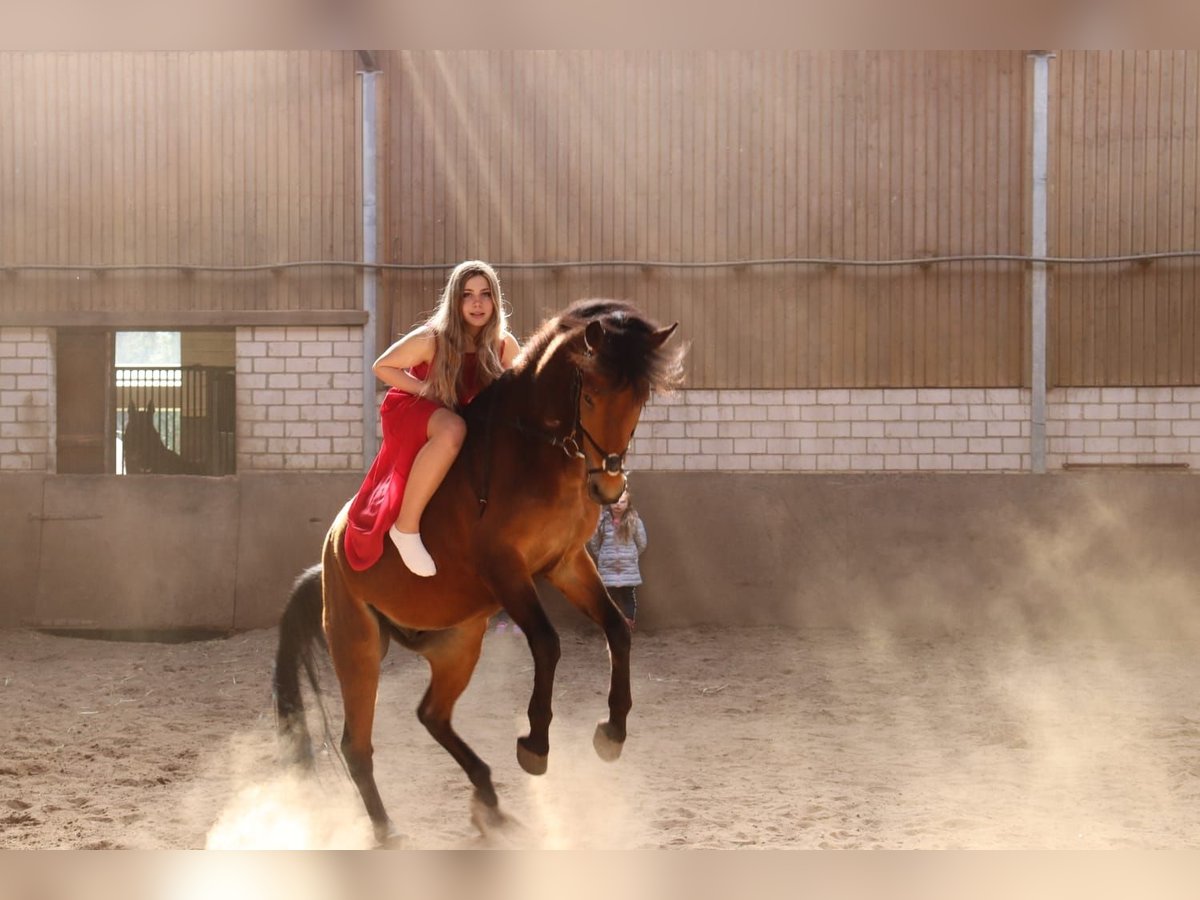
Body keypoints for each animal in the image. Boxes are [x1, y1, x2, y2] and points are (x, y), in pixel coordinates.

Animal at [274, 300, 686, 844]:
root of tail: (331, 553)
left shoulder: (566, 563)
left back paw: (488, 798)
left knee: (431, 715)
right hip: (357, 647)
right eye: (591, 394)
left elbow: (617, 629)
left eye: (639, 398)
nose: (610, 486)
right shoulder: (505, 567)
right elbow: (547, 642)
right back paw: (387, 829)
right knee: (355, 746)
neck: (536, 452)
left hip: (460, 642)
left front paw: (612, 730)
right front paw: (535, 743)